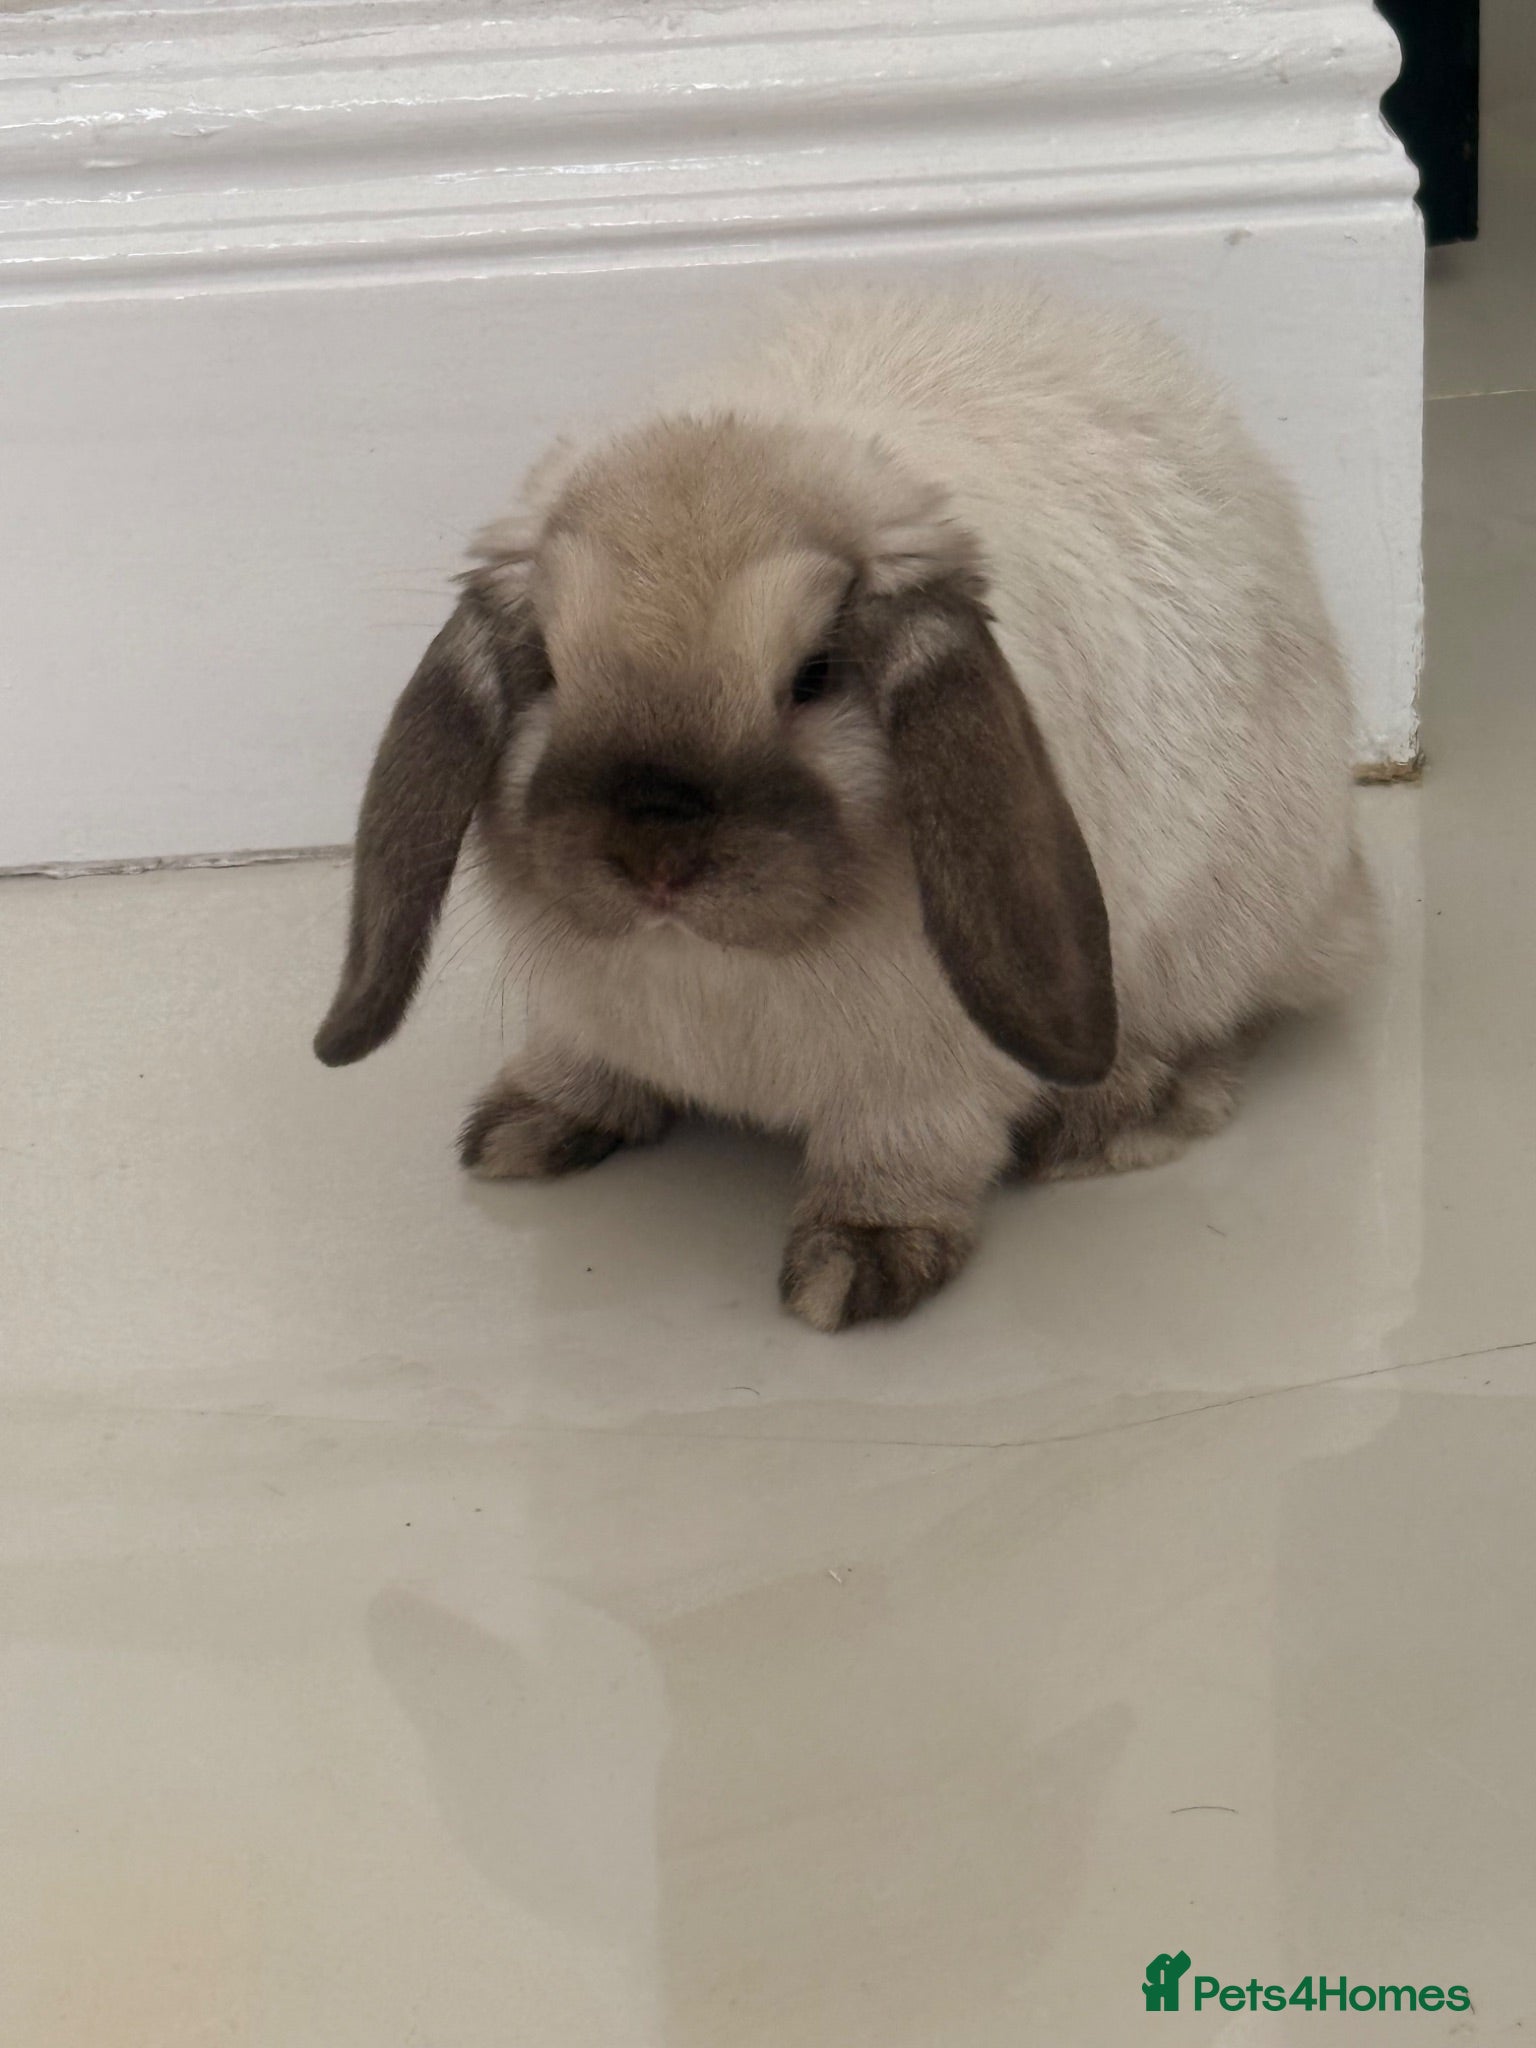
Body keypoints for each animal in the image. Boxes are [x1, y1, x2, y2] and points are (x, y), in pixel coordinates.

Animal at [315, 282, 1373, 1332]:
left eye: (816, 674)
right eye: (544, 668)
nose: (657, 855)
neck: (703, 964)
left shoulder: (928, 1084)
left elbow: (898, 1161)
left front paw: (854, 1268)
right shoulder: (580, 1015)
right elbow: (581, 1061)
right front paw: (527, 1124)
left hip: (1220, 936)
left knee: (1229, 1023)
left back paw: (1117, 1116)